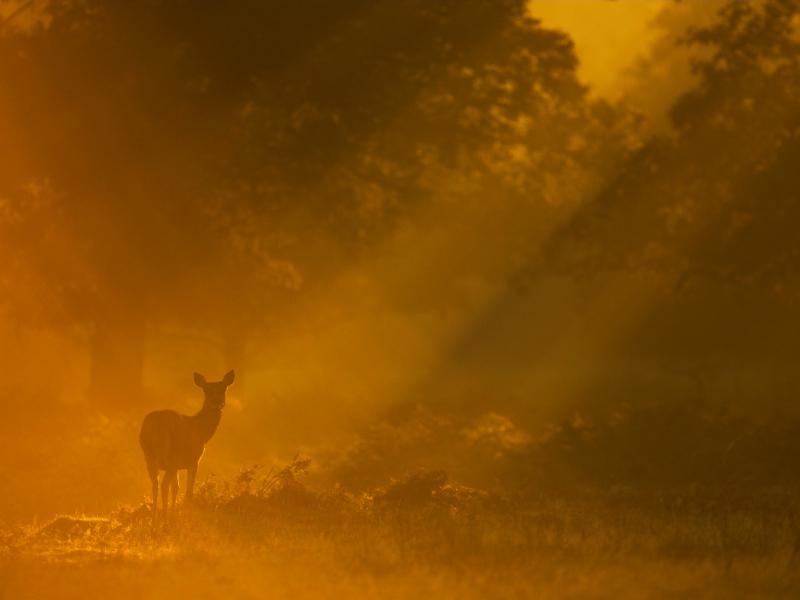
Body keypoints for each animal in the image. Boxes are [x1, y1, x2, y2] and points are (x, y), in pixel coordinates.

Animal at [139, 370, 234, 533]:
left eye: (223, 389)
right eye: (206, 391)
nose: (216, 403)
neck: (201, 432)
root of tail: (152, 427)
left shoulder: (177, 466)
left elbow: (176, 488)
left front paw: (174, 520)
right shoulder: (193, 460)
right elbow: (189, 492)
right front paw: (191, 522)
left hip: (150, 458)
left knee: (155, 486)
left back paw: (154, 524)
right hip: (170, 457)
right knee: (163, 486)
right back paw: (164, 525)